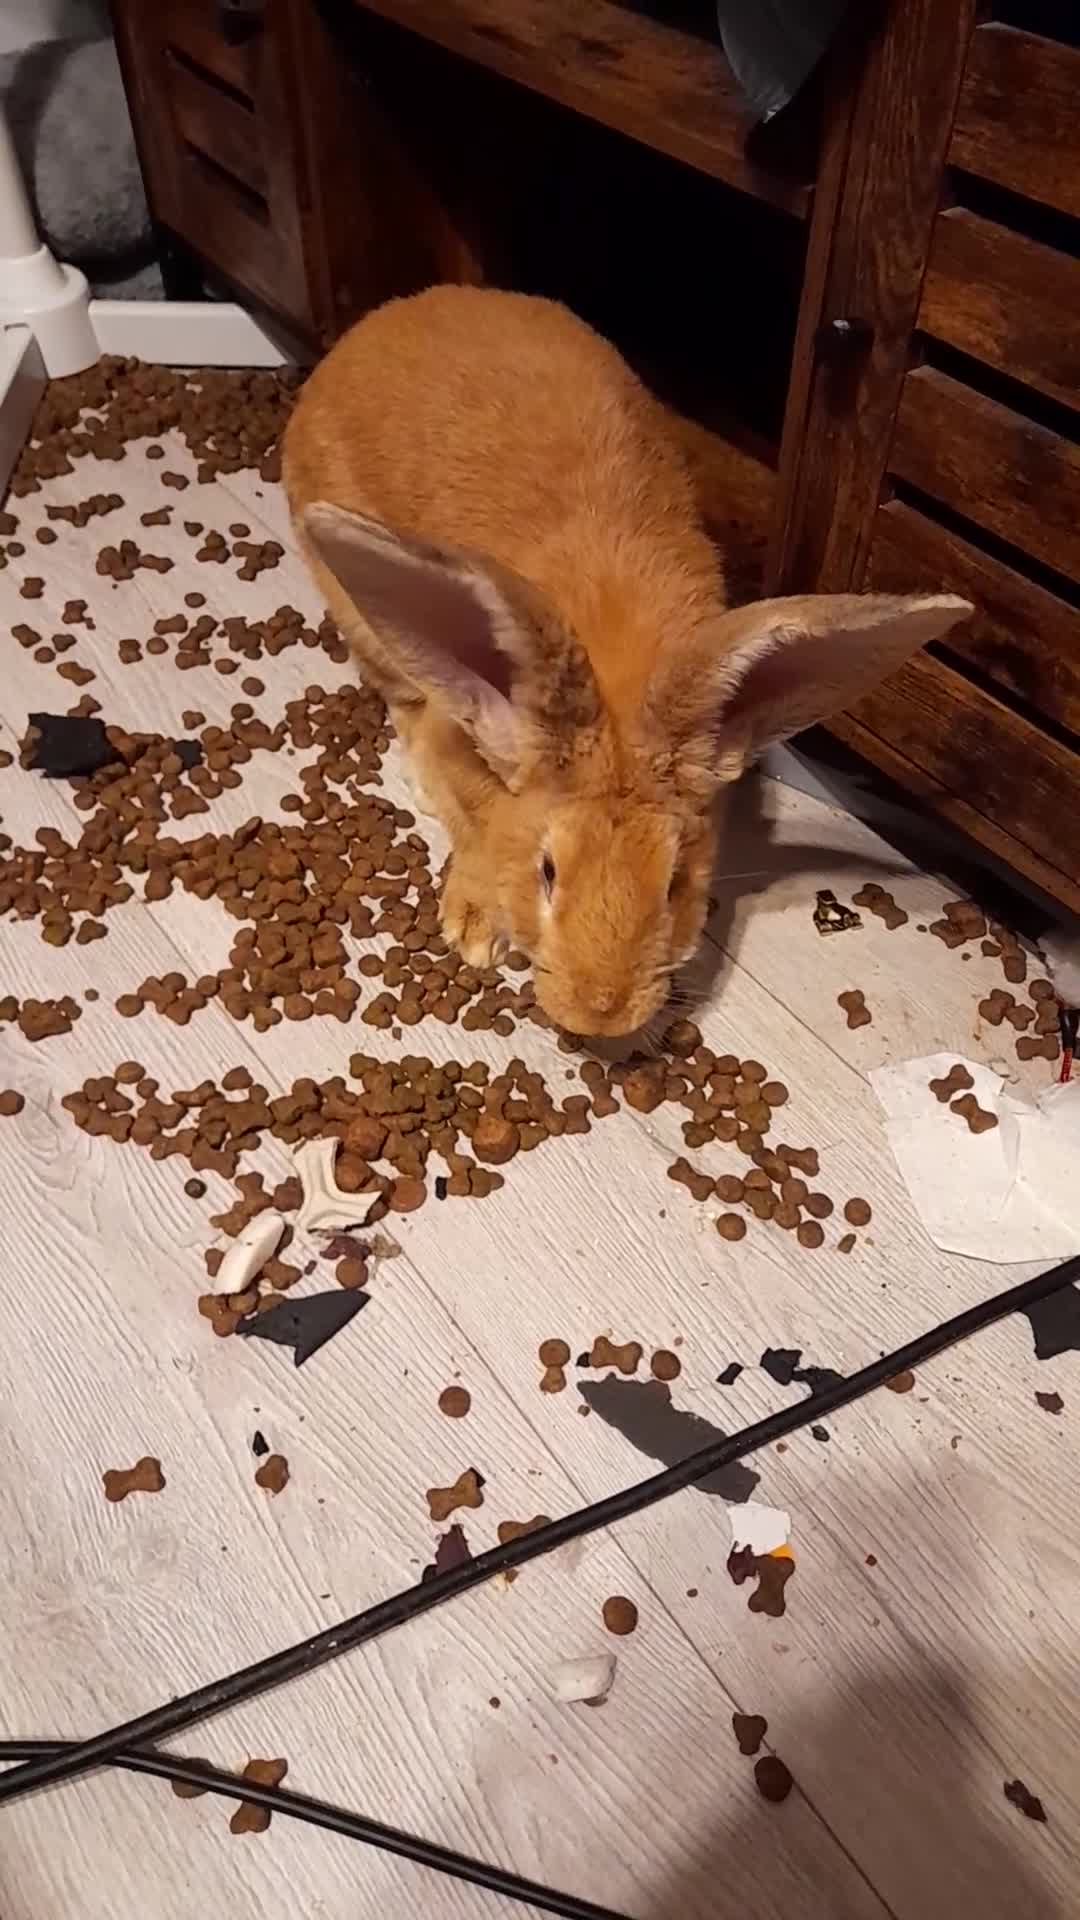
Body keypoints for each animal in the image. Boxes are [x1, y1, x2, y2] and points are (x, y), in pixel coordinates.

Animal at [284, 284, 971, 1039]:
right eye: (548, 871)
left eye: (673, 881)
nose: (600, 1014)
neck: (618, 682)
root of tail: (394, 313)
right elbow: (472, 817)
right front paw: (475, 926)